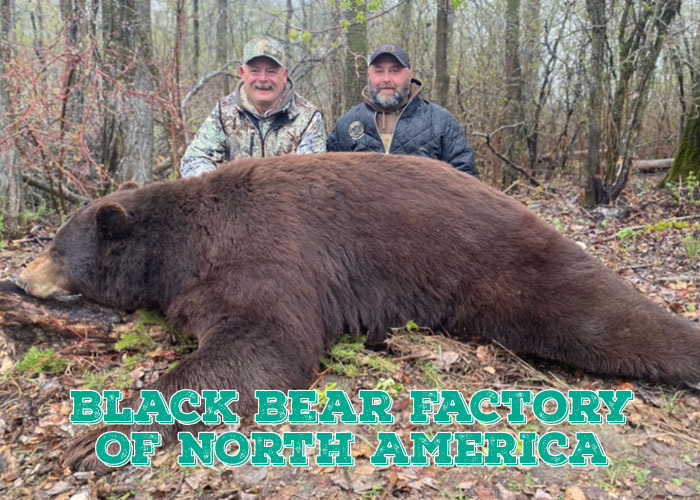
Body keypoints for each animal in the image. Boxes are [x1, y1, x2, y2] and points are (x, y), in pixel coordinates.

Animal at [16, 150, 700, 470]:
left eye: (52, 245)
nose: (19, 278)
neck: (182, 244)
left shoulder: (265, 253)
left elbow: (265, 342)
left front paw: (92, 438)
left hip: (498, 263)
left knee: (600, 316)